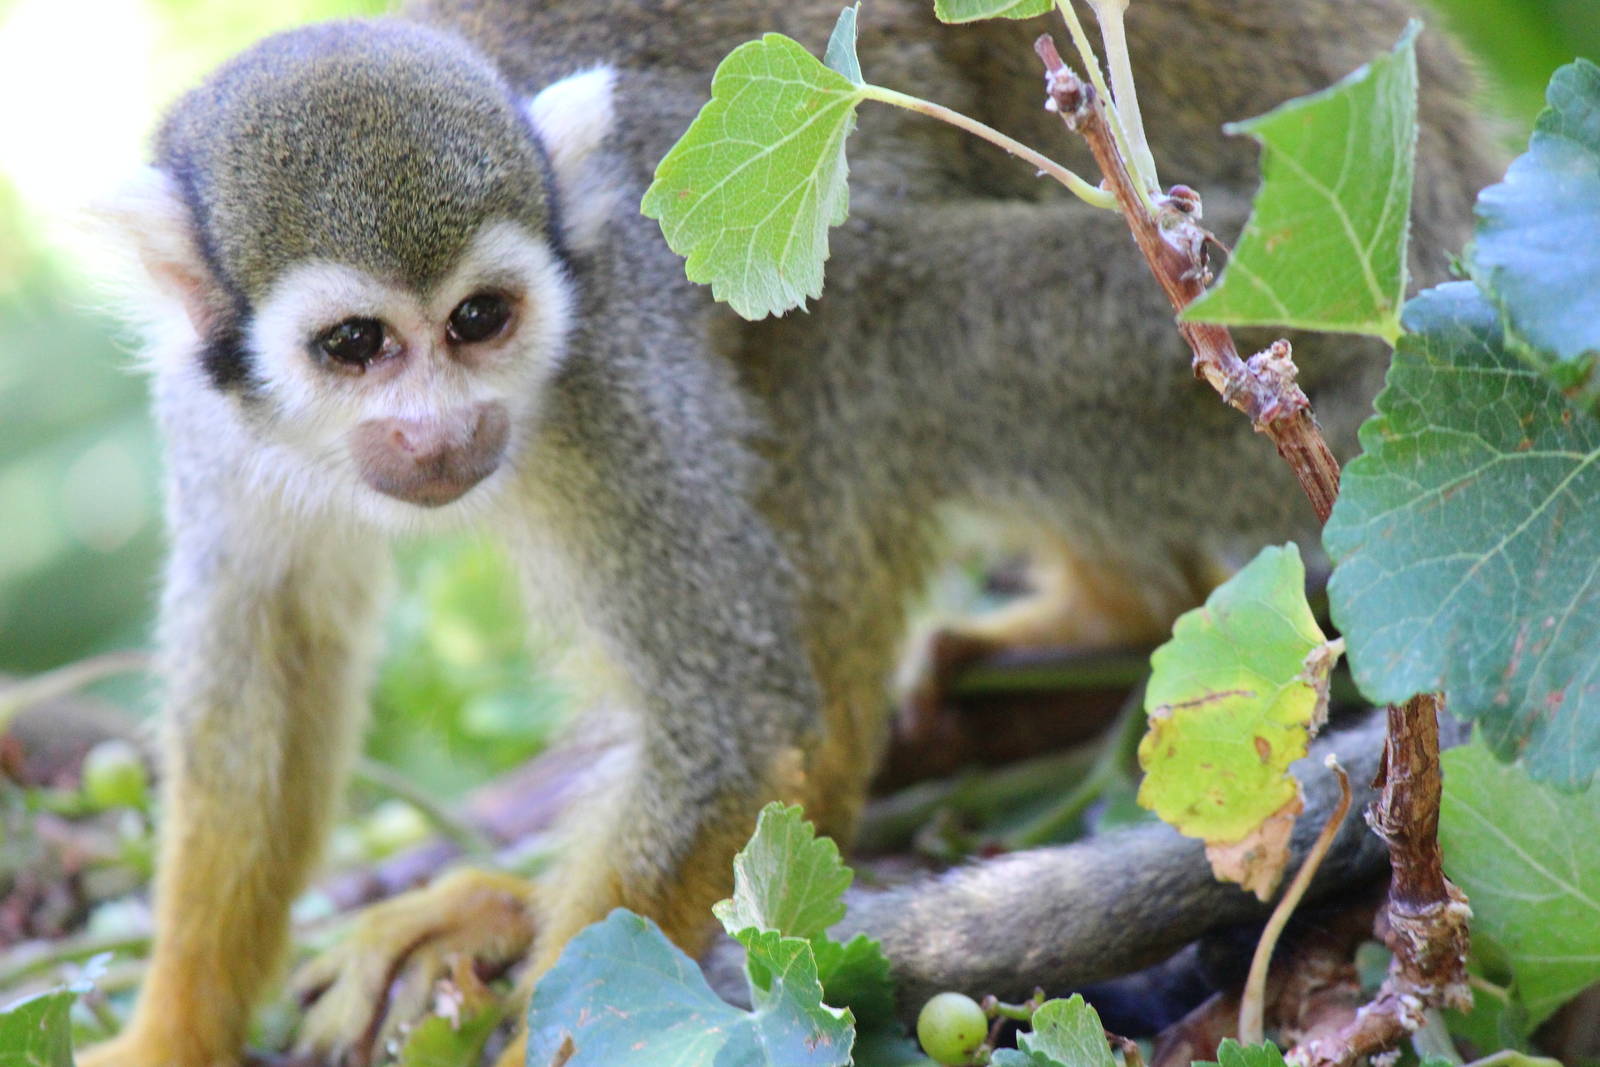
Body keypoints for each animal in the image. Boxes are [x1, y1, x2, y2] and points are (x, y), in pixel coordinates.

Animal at [79, 1, 1500, 1065]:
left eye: (481, 319)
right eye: (355, 345)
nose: (441, 430)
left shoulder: (619, 343)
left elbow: (730, 723)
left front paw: (581, 1011)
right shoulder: (213, 414)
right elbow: (262, 689)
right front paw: (173, 1029)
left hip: (1272, 327)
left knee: (866, 331)